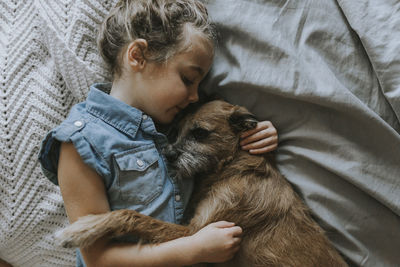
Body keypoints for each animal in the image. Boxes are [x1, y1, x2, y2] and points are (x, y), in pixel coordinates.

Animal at [55, 101, 346, 267]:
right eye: (175, 132)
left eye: (200, 133)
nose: (169, 155)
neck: (231, 168)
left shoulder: (195, 233)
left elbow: (132, 215)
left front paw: (82, 229)